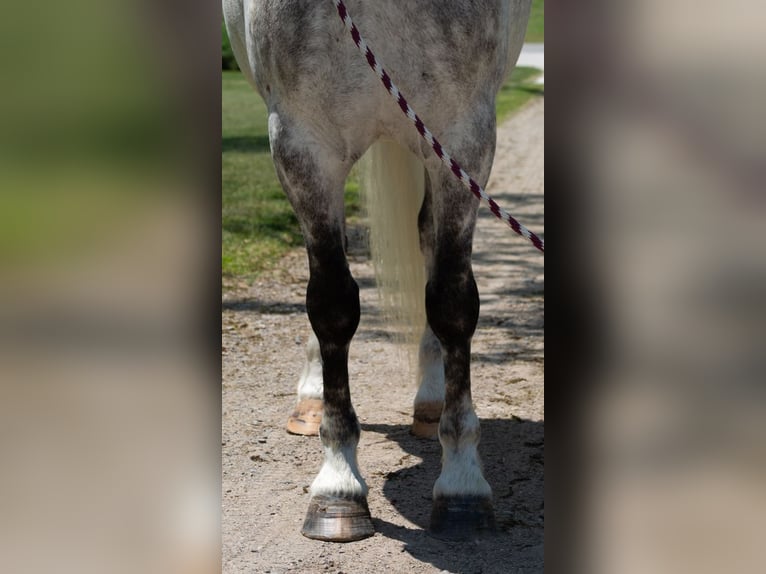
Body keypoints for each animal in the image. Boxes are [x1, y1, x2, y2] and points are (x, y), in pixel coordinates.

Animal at [223, 0, 532, 541]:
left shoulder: (463, 139)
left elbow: (452, 304)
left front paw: (462, 487)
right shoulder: (302, 145)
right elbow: (331, 305)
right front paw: (338, 487)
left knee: (427, 239)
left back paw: (430, 398)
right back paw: (311, 397)